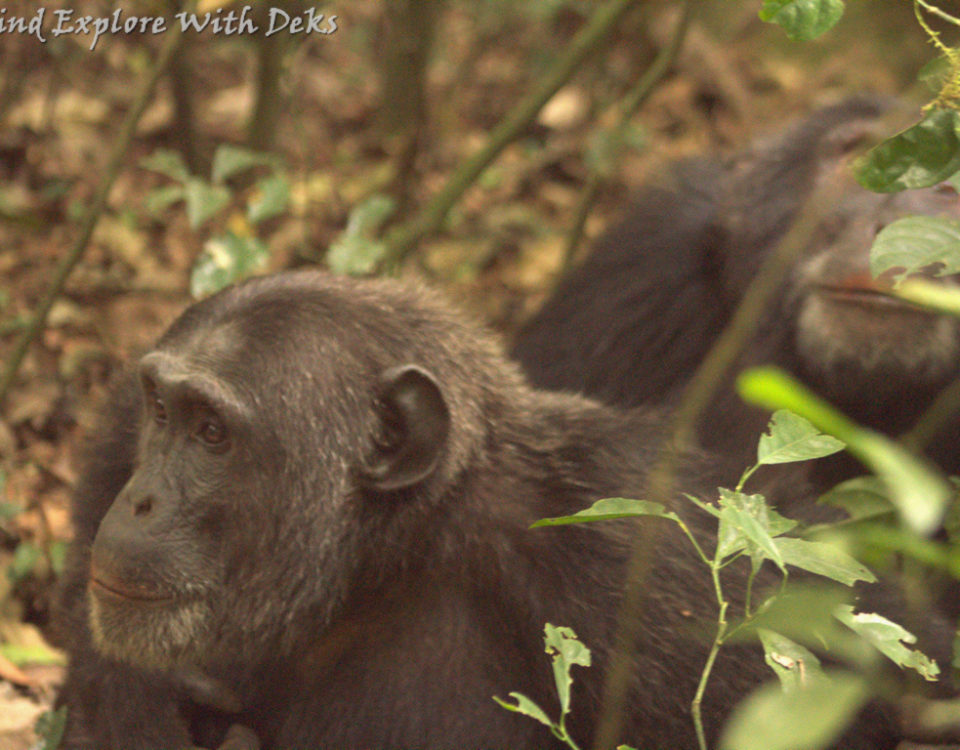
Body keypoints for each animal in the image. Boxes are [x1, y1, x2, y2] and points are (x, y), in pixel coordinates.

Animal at [52, 272, 928, 750]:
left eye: (212, 432)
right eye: (161, 411)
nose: (141, 499)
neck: (390, 559)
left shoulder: (654, 567)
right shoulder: (112, 433)